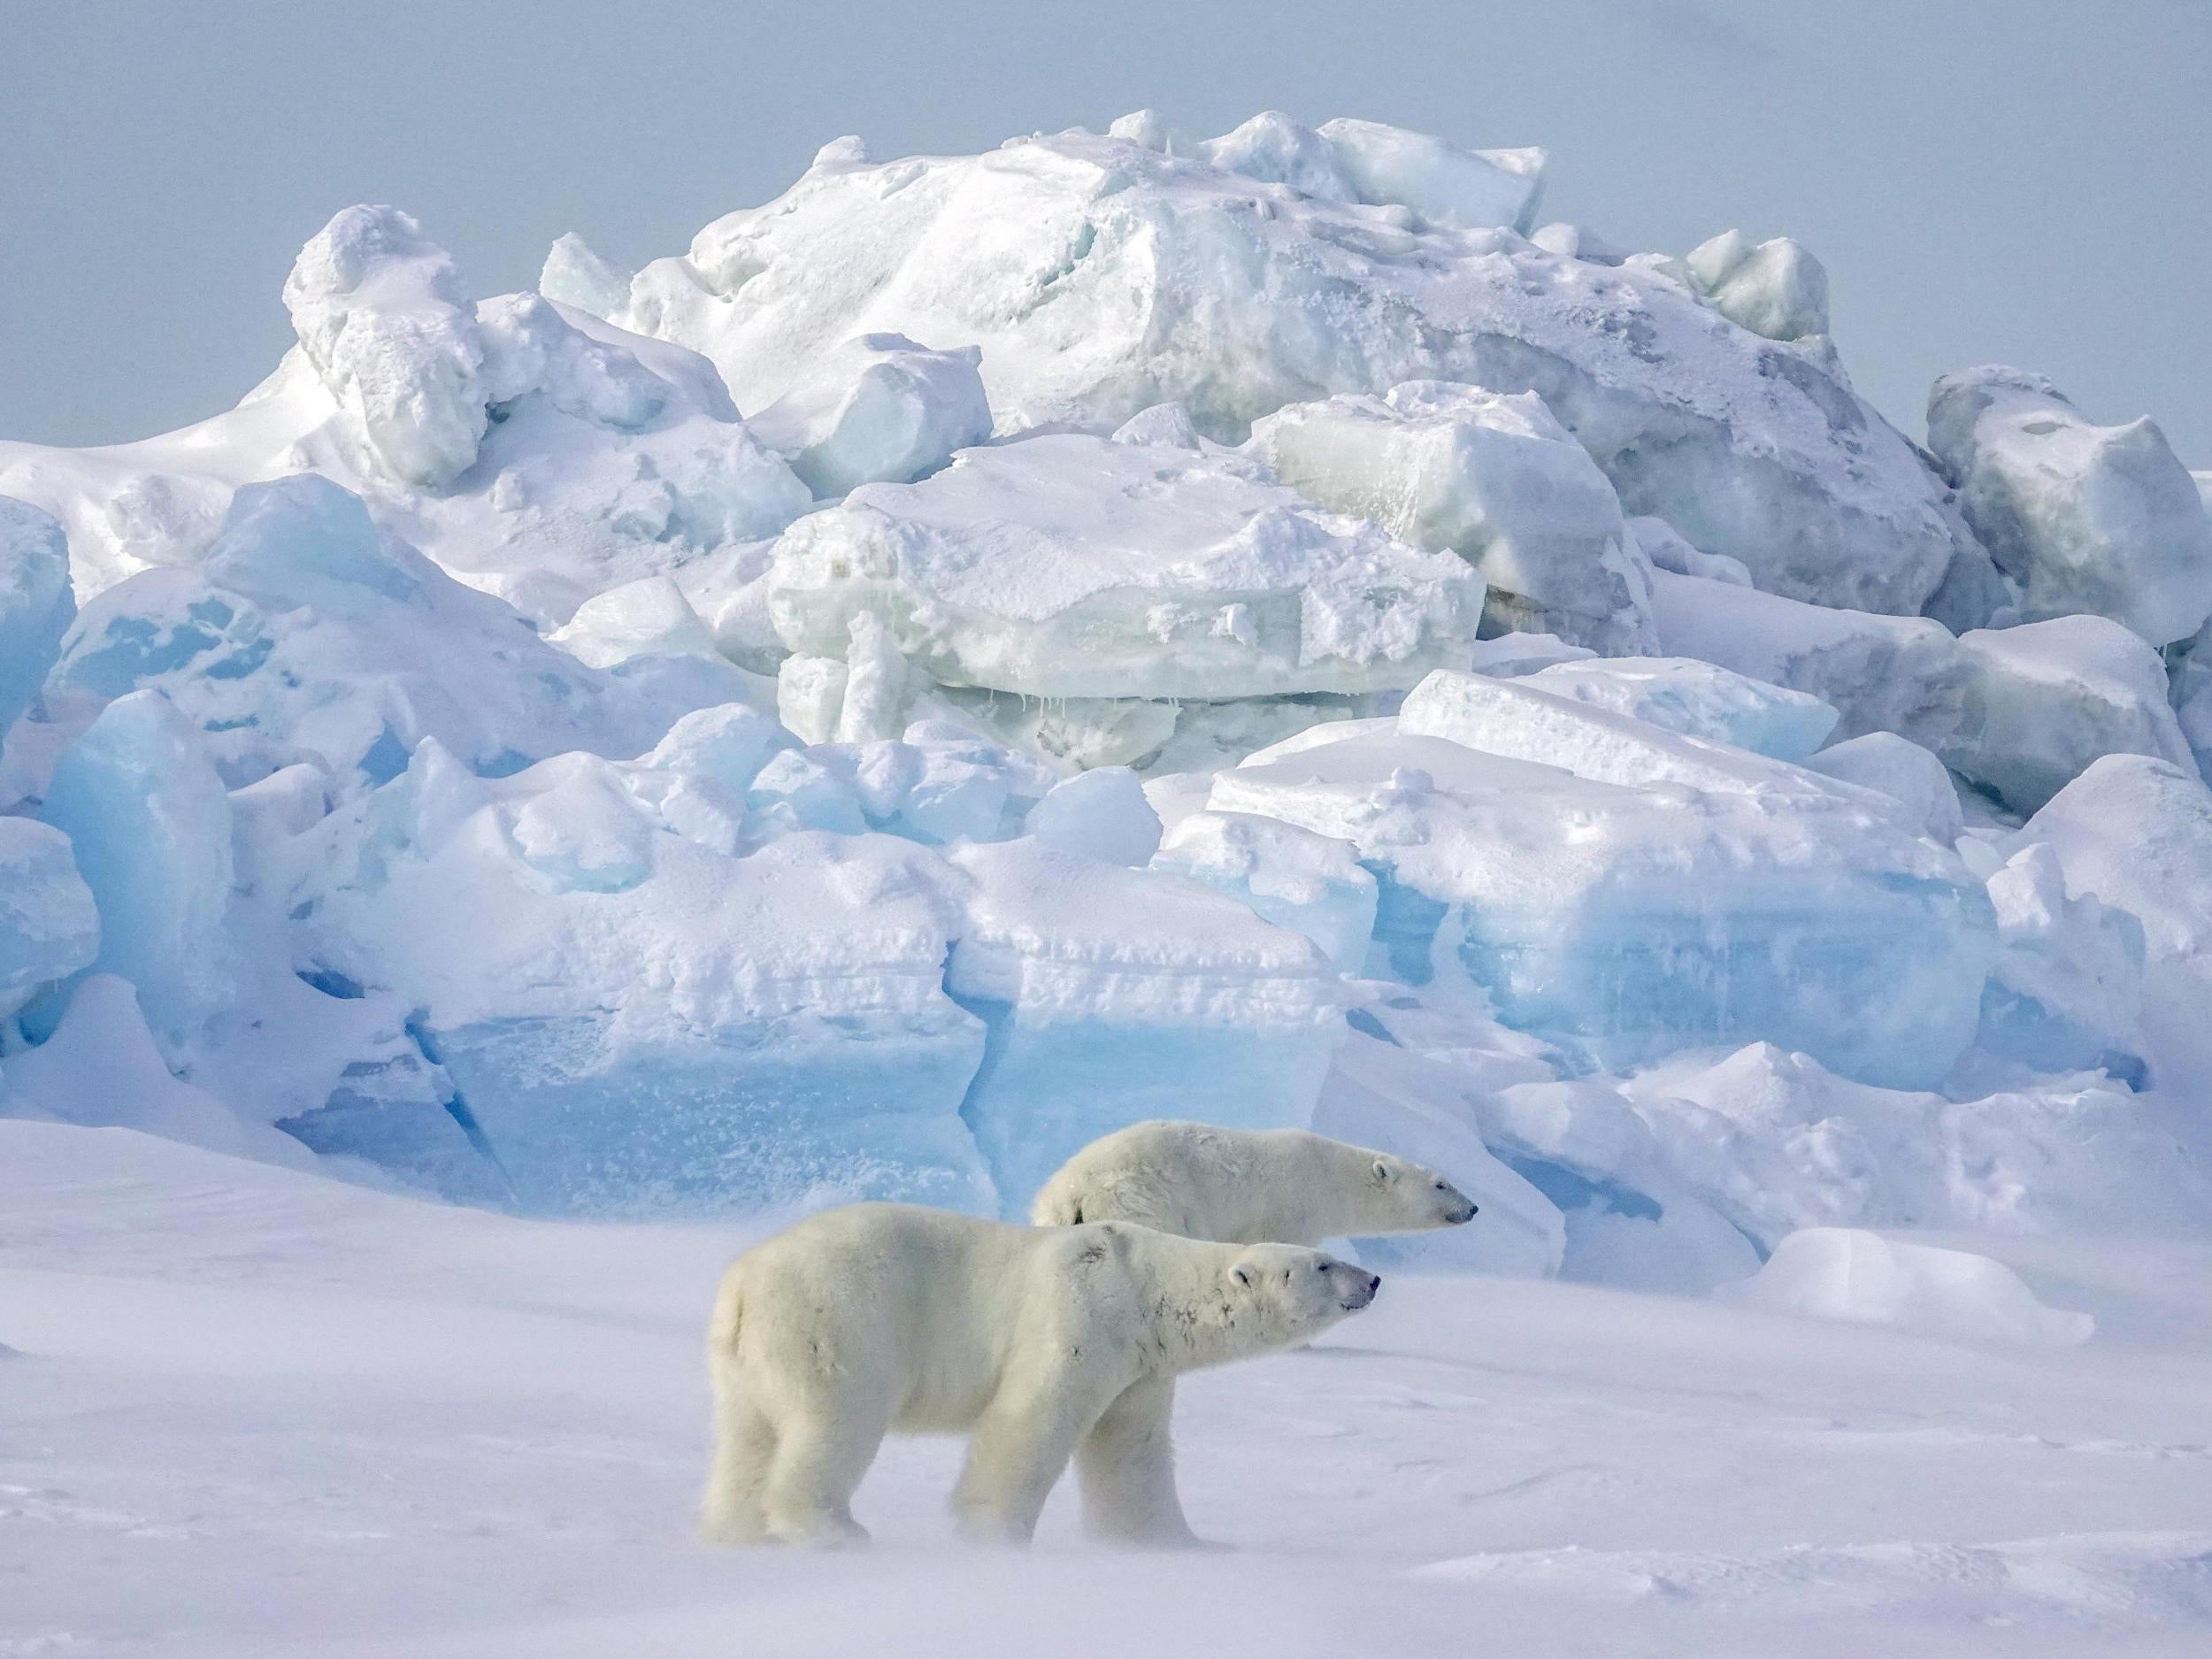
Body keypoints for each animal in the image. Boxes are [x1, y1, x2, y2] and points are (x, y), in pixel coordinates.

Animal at [703, 1212, 1380, 1548]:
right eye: (1323, 1264)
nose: (1372, 1279)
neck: (1143, 1286)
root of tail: (740, 1284)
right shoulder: (1079, 1310)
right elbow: (1033, 1418)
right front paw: (994, 1533)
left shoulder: (1140, 1366)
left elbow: (1130, 1450)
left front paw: (1171, 1543)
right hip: (840, 1322)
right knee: (836, 1421)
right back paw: (834, 1529)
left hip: (747, 1362)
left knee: (747, 1440)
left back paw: (737, 1535)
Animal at [1026, 1119, 1478, 1248]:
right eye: (1441, 1184)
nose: (1473, 1208)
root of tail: (1074, 1193)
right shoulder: (1289, 1209)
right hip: (1143, 1198)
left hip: (1049, 1217)